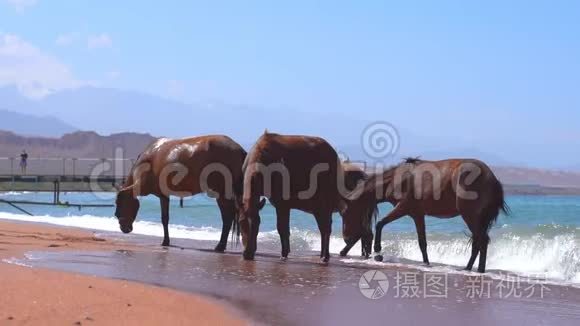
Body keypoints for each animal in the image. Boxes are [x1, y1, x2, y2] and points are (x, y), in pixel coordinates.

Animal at [115, 134, 247, 251]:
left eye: (119, 203)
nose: (123, 227)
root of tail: (238, 148)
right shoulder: (163, 196)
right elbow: (165, 219)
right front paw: (166, 241)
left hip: (222, 193)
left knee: (227, 217)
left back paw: (220, 246)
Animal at [238, 132, 374, 262]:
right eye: (240, 223)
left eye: (257, 225)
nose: (248, 254)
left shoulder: (282, 203)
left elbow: (282, 229)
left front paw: (284, 254)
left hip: (331, 206)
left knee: (333, 229)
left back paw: (326, 256)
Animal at [340, 158, 508, 272]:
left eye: (345, 212)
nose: (346, 238)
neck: (398, 179)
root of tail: (493, 179)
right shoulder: (417, 214)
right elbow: (422, 242)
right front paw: (426, 263)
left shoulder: (403, 208)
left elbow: (380, 223)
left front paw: (378, 252)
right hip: (478, 218)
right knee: (478, 241)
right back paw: (470, 268)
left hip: (470, 216)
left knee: (481, 240)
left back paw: (475, 269)